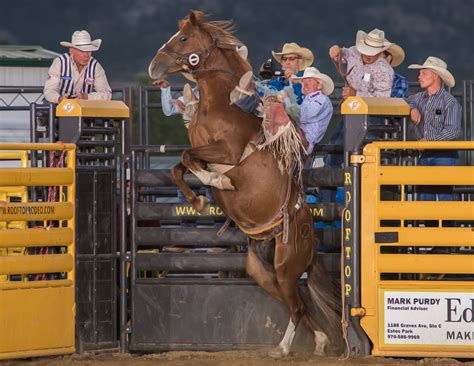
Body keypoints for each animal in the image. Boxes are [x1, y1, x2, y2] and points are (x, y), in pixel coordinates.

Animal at [148, 9, 340, 358]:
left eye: (183, 38)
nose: (154, 67)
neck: (221, 103)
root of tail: (313, 243)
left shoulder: (228, 150)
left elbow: (190, 158)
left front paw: (218, 179)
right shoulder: (201, 151)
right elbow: (179, 166)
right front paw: (198, 199)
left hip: (286, 265)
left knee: (297, 307)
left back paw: (283, 348)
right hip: (261, 271)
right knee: (300, 304)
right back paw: (318, 341)